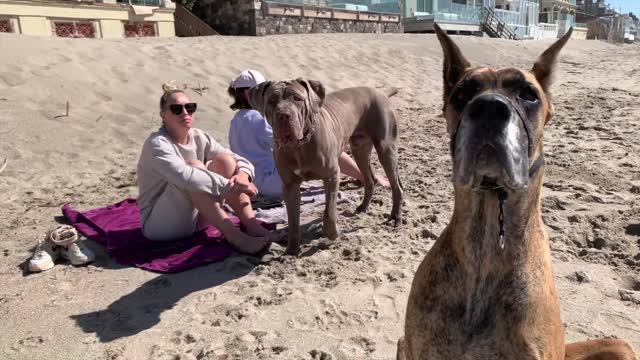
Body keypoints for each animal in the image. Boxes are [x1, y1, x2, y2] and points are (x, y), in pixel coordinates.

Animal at [248, 81, 402, 256]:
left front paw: (332, 235)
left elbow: (329, 212)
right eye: (272, 101)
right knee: (369, 179)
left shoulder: (331, 176)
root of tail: (380, 91)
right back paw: (363, 207)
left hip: (386, 148)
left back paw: (395, 217)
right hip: (359, 149)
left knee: (396, 185)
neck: (298, 146)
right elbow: (293, 220)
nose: (283, 115)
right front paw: (291, 251)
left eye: (297, 98)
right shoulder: (289, 185)